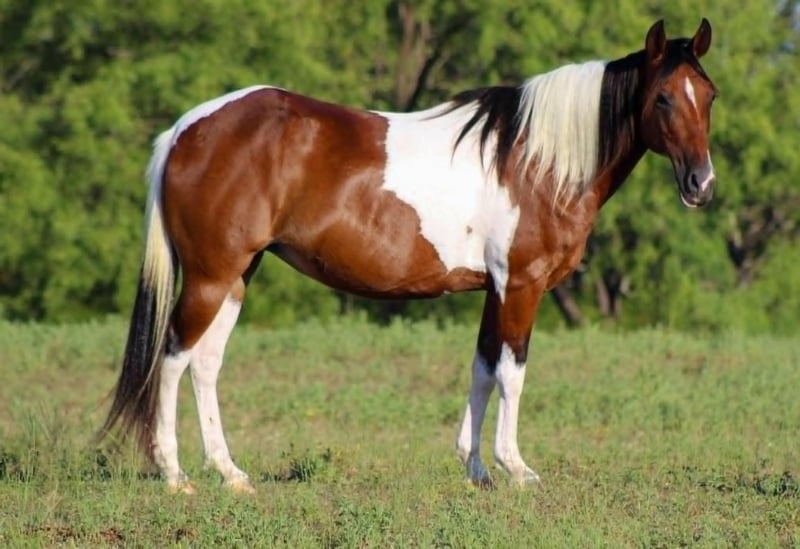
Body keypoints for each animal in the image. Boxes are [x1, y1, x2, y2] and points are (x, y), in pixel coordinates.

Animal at [100, 18, 718, 493]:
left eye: (708, 96)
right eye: (663, 97)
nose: (702, 184)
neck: (536, 161)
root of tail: (187, 129)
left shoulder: (494, 290)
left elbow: (482, 369)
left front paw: (476, 469)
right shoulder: (521, 285)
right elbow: (513, 373)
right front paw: (516, 469)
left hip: (236, 276)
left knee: (206, 363)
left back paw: (230, 474)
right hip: (211, 275)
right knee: (174, 357)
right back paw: (174, 474)